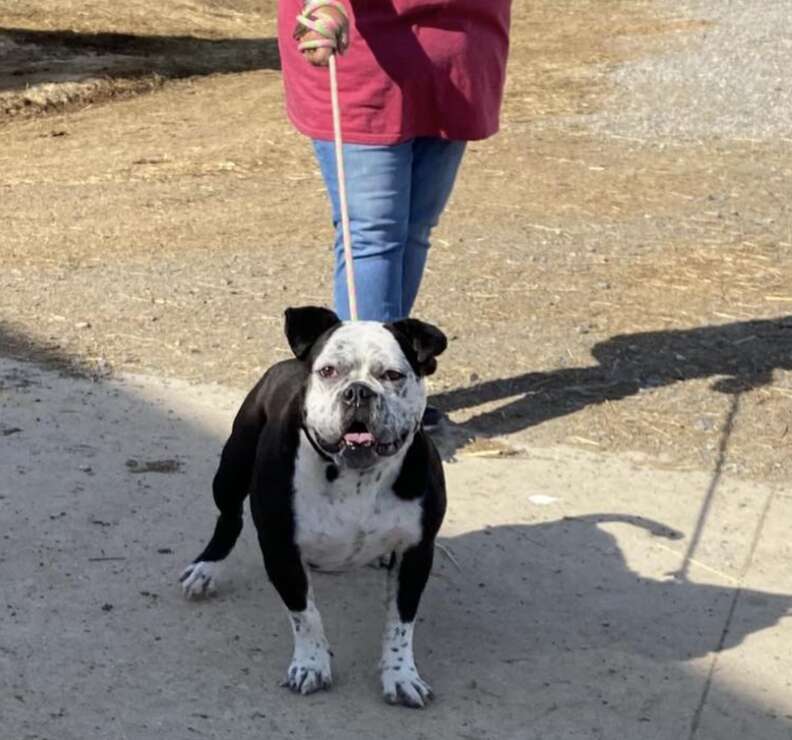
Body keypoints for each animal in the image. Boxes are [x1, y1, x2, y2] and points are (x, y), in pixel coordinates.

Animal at [182, 304, 448, 704]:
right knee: (229, 518)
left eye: (391, 375)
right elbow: (305, 615)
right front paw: (311, 665)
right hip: (231, 471)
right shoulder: (281, 550)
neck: (356, 476)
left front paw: (400, 674)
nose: (358, 392)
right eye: (328, 371)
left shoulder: (416, 552)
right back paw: (206, 568)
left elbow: (400, 623)